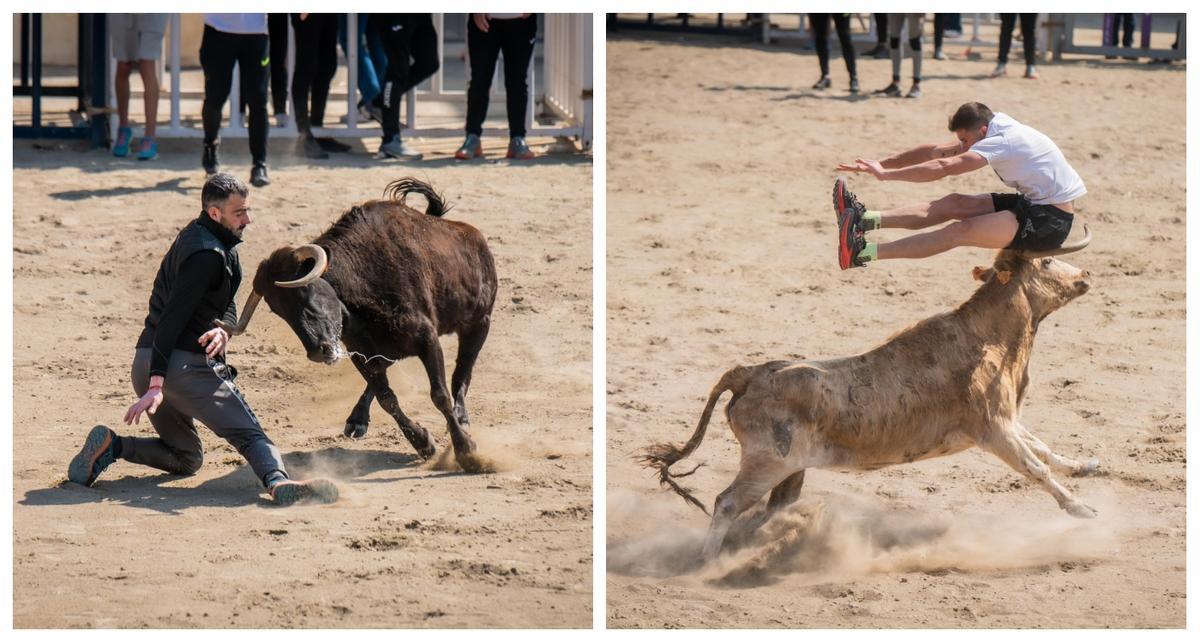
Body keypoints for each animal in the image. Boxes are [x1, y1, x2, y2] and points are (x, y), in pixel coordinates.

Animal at [216, 178, 496, 470]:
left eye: (305, 290)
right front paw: (423, 443)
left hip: (479, 323)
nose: (319, 352)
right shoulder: (360, 353)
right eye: (278, 310)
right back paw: (357, 419)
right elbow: (387, 398)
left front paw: (466, 450)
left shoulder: (427, 339)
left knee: (462, 374)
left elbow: (440, 393)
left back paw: (462, 418)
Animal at [648, 229, 1099, 559]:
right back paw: (708, 560)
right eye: (1045, 260)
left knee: (775, 505)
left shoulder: (1006, 419)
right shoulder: (993, 429)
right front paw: (1083, 509)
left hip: (790, 467)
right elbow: (1035, 467)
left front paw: (1085, 465)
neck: (991, 338)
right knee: (727, 502)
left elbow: (1042, 448)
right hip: (765, 463)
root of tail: (750, 373)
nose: (1085, 276)